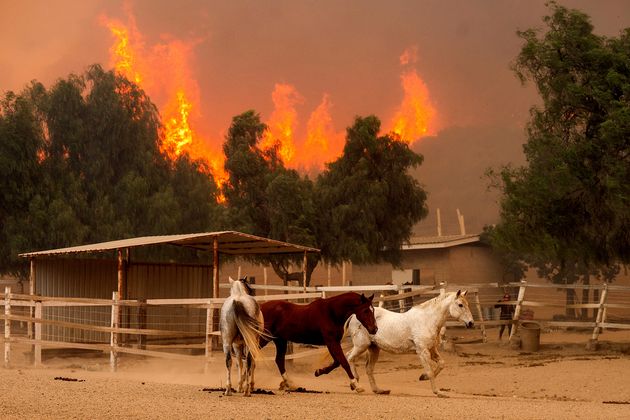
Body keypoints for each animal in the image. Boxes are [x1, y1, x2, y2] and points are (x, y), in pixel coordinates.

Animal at [346, 290, 474, 398]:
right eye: (460, 305)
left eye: (467, 304)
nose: (471, 323)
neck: (427, 320)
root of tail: (353, 315)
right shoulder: (422, 351)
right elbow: (430, 371)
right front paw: (438, 392)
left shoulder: (432, 349)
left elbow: (441, 364)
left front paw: (423, 377)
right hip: (361, 345)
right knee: (350, 358)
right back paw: (357, 386)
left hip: (373, 348)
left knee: (367, 368)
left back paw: (377, 390)